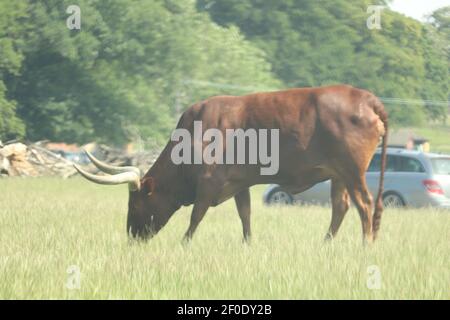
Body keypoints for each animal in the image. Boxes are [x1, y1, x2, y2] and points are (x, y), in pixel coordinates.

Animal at [74, 84, 386, 244]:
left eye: (135, 203)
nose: (132, 237)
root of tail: (367, 99)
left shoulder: (208, 183)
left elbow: (196, 216)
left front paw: (185, 243)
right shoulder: (239, 183)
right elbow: (245, 214)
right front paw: (248, 243)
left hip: (352, 170)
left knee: (365, 205)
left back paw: (365, 245)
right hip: (338, 175)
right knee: (341, 207)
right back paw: (326, 243)